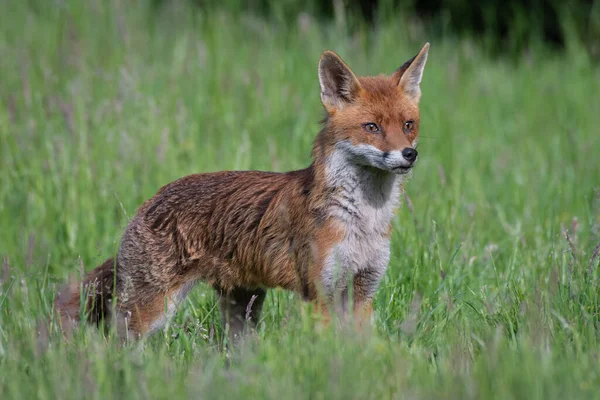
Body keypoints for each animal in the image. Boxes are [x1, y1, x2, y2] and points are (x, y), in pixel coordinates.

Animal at [56, 43, 428, 338]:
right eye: (372, 127)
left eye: (408, 125)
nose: (409, 154)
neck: (363, 219)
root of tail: (149, 200)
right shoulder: (320, 293)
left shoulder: (363, 291)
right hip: (151, 311)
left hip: (243, 307)